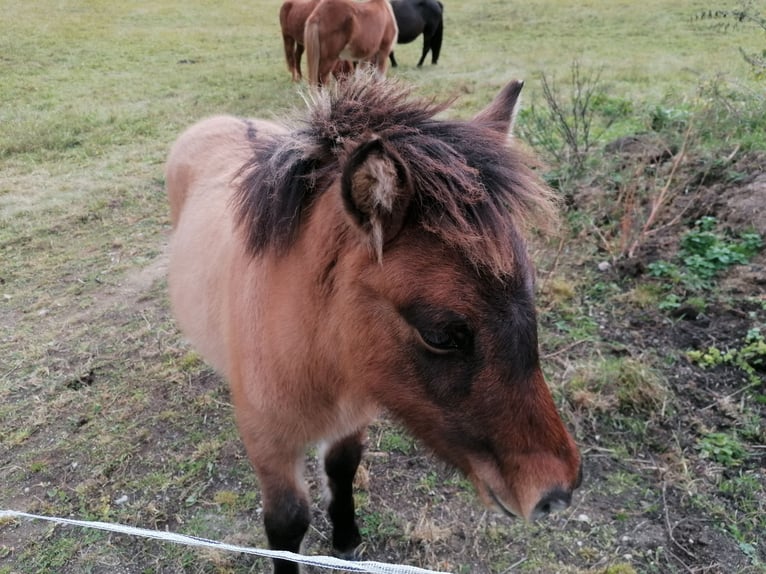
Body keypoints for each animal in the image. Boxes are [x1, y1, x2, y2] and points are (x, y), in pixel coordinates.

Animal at [165, 72, 582, 574]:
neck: (315, 356)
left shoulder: (352, 418)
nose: (555, 492)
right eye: (440, 334)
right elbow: (286, 524)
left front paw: (346, 541)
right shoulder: (269, 446)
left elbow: (342, 470)